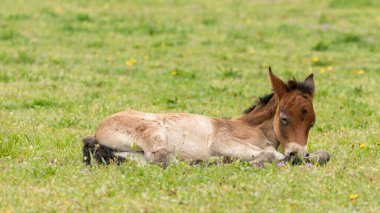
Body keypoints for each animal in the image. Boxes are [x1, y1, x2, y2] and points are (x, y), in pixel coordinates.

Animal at [82, 68, 314, 166]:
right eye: (284, 118)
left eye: (312, 122)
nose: (298, 153)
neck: (253, 128)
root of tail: (99, 129)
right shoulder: (222, 141)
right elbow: (272, 154)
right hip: (153, 130)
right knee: (162, 159)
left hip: (128, 152)